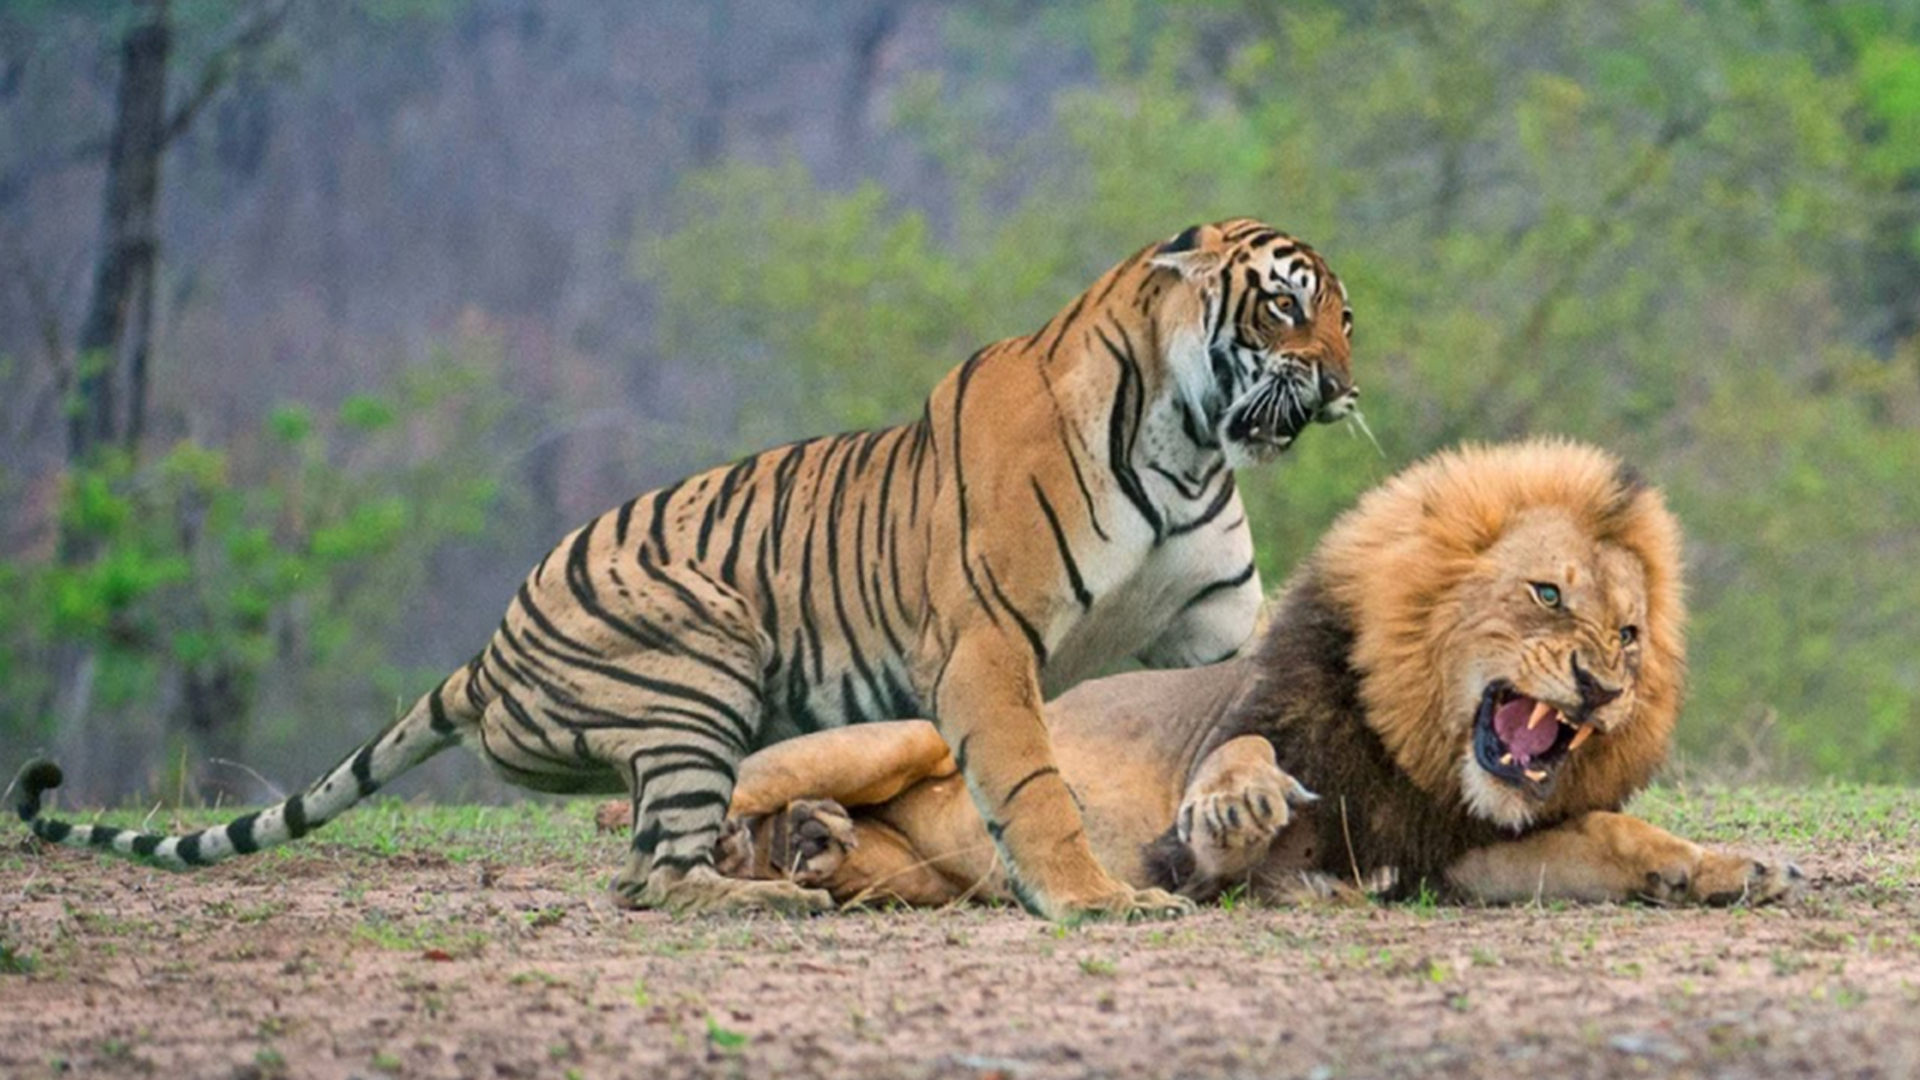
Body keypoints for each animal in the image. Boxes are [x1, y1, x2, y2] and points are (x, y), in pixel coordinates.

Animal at [14, 218, 1358, 921]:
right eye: (1288, 308)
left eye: (1345, 317)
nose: (1346, 389)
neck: (1187, 440)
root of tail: (487, 649)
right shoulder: (983, 643)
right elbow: (1032, 785)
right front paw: (1095, 900)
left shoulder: (1217, 624)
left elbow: (1253, 711)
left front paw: (1245, 794)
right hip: (697, 665)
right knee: (653, 878)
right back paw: (784, 896)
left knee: (654, 865)